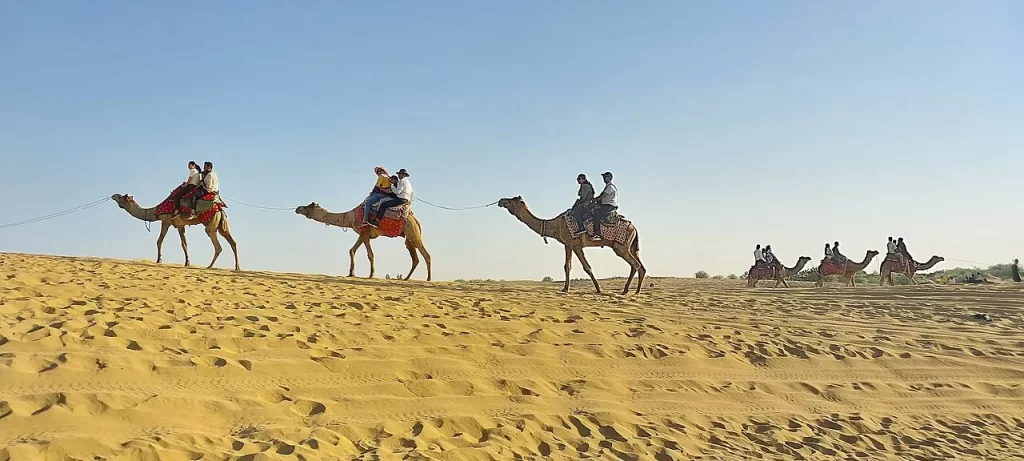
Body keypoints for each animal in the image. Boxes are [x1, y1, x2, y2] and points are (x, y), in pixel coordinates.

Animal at [111, 194, 239, 270]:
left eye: (121, 197)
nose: (113, 195)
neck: (155, 211)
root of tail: (220, 209)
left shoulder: (166, 220)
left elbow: (159, 241)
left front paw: (159, 260)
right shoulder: (180, 226)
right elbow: (184, 244)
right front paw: (187, 263)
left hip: (210, 224)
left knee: (218, 245)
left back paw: (209, 266)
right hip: (221, 224)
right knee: (233, 242)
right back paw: (237, 267)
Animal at [294, 202, 431, 281]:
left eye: (309, 206)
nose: (298, 208)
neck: (349, 217)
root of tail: (416, 220)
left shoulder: (365, 233)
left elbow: (370, 254)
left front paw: (371, 275)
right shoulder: (362, 234)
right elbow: (352, 250)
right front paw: (351, 273)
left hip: (412, 232)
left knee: (426, 254)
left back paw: (428, 278)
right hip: (408, 237)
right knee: (415, 257)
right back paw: (406, 278)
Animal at [496, 196, 646, 295]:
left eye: (512, 200)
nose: (501, 200)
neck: (556, 224)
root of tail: (634, 228)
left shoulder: (576, 244)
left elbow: (587, 267)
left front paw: (598, 289)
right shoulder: (567, 244)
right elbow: (567, 267)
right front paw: (565, 289)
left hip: (620, 246)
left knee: (635, 264)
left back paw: (630, 291)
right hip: (632, 246)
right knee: (640, 266)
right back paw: (633, 291)